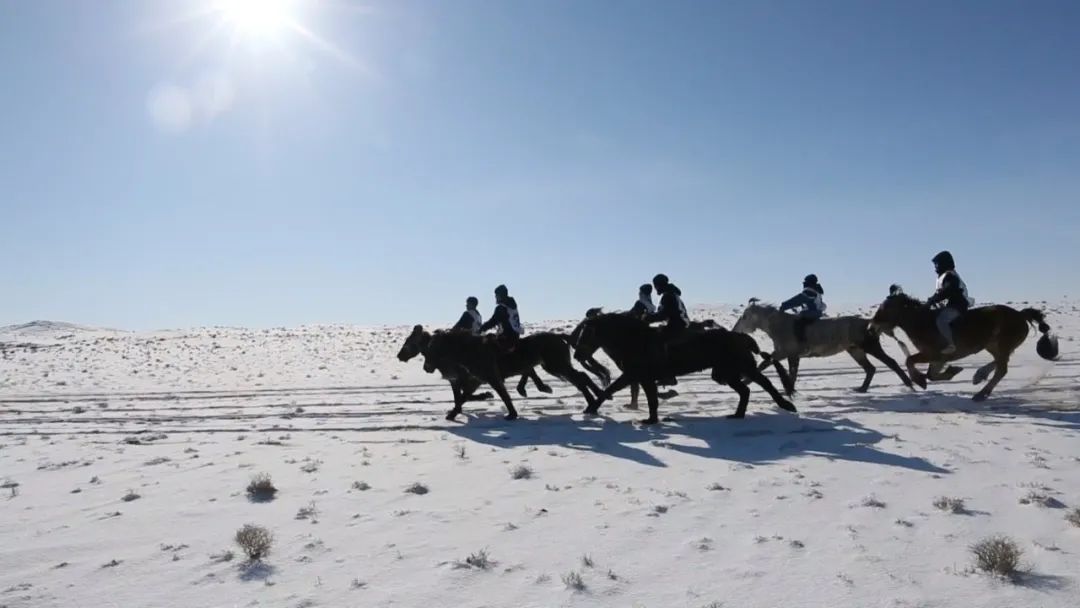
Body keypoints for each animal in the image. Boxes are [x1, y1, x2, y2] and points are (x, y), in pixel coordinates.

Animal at [421, 330, 604, 421]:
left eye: (434, 347)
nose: (426, 367)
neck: (468, 350)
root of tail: (558, 337)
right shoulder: (476, 380)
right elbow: (463, 397)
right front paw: (453, 413)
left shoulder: (492, 378)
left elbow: (503, 395)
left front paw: (511, 414)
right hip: (555, 367)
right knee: (581, 378)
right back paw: (592, 403)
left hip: (556, 365)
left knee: (581, 378)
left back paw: (594, 401)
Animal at [574, 311, 794, 425]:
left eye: (587, 333)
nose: (576, 355)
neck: (635, 340)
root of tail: (741, 337)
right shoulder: (641, 377)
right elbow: (651, 398)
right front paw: (652, 419)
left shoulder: (634, 375)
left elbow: (611, 390)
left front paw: (591, 408)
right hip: (726, 373)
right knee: (745, 390)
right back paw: (737, 415)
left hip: (740, 367)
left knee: (764, 383)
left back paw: (786, 405)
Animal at [868, 287, 1054, 401]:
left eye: (884, 308)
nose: (871, 327)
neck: (922, 322)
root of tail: (1021, 315)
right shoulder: (939, 359)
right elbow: (932, 375)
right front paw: (953, 371)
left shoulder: (933, 354)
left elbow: (910, 361)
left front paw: (920, 381)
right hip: (994, 346)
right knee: (1001, 363)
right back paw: (979, 376)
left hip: (1000, 346)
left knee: (1002, 369)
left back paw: (981, 393)